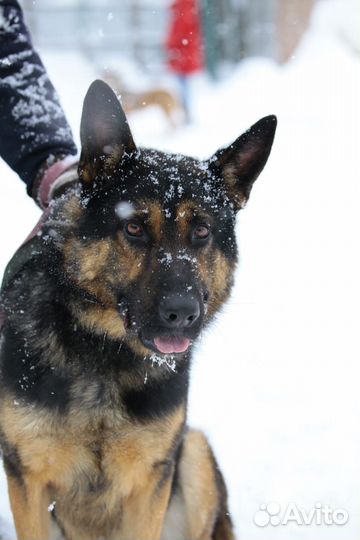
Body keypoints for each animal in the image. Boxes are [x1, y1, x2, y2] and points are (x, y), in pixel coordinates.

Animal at [0, 81, 276, 540]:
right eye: (133, 228)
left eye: (202, 232)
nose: (182, 313)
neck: (105, 354)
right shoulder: (28, 480)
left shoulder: (150, 485)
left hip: (193, 451)